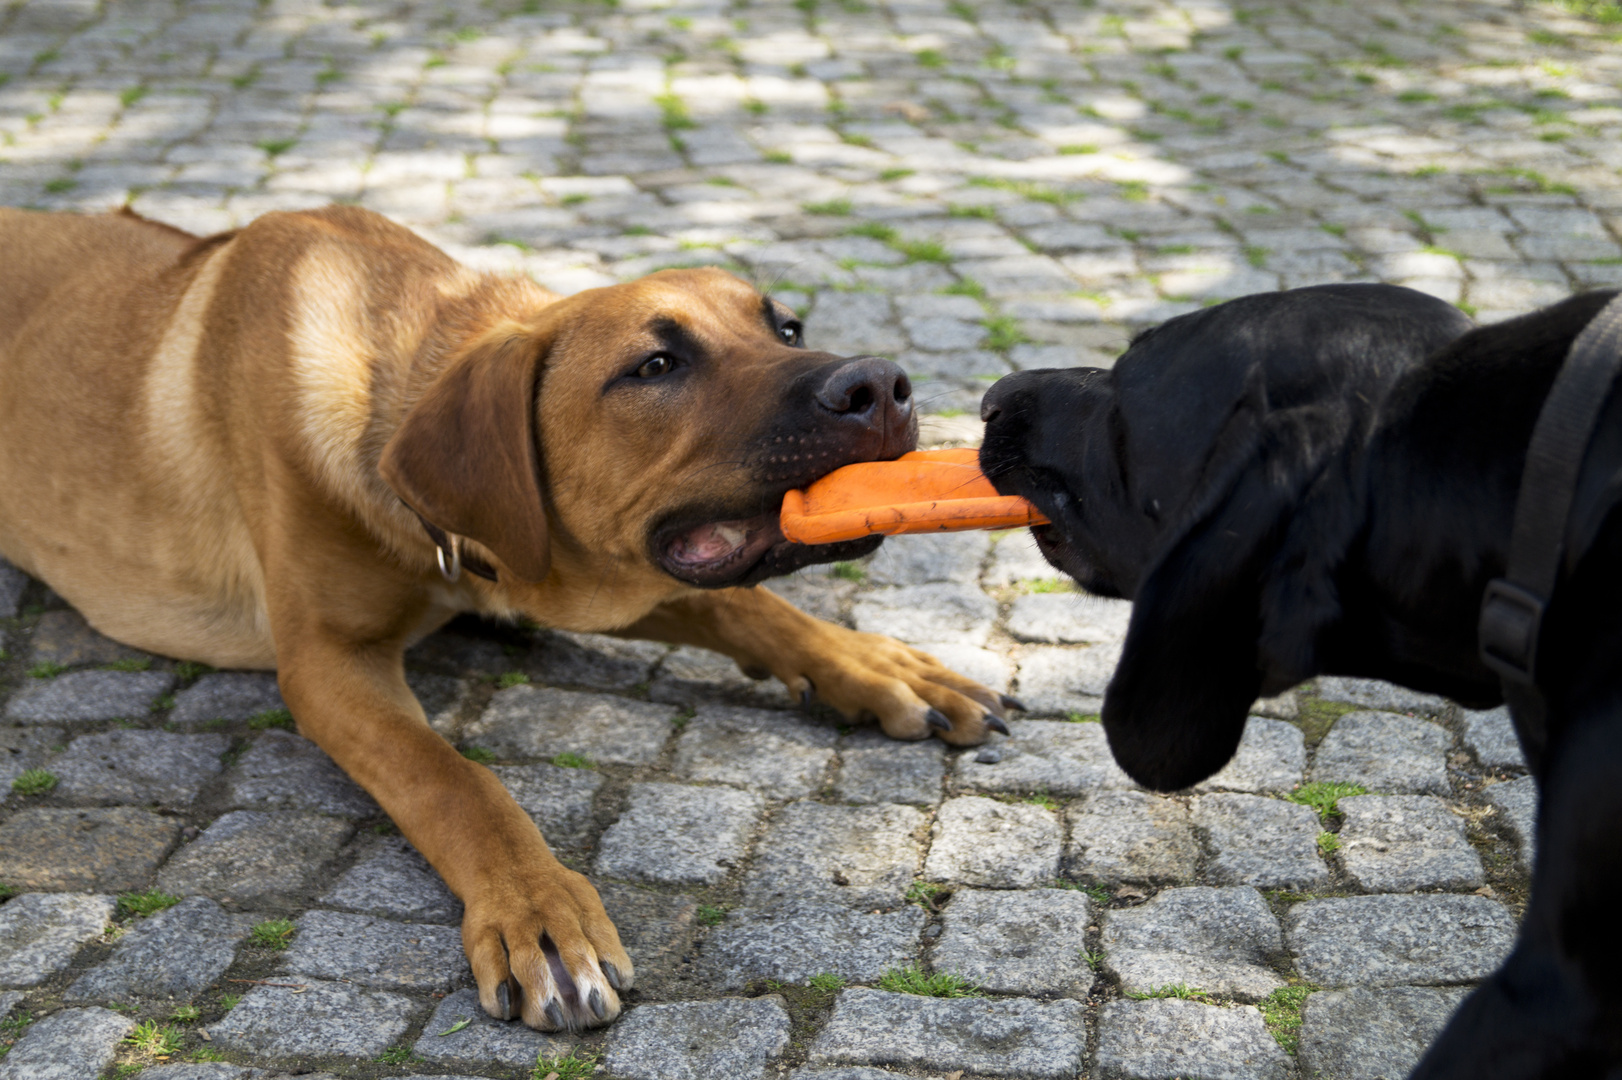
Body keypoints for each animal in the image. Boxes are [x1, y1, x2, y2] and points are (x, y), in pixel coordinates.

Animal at [0, 207, 1012, 1024]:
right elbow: (457, 782)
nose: (883, 385)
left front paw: (873, 664)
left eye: (788, 326)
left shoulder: (573, 571)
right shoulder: (328, 659)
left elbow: (754, 608)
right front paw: (537, 911)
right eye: (656, 365)